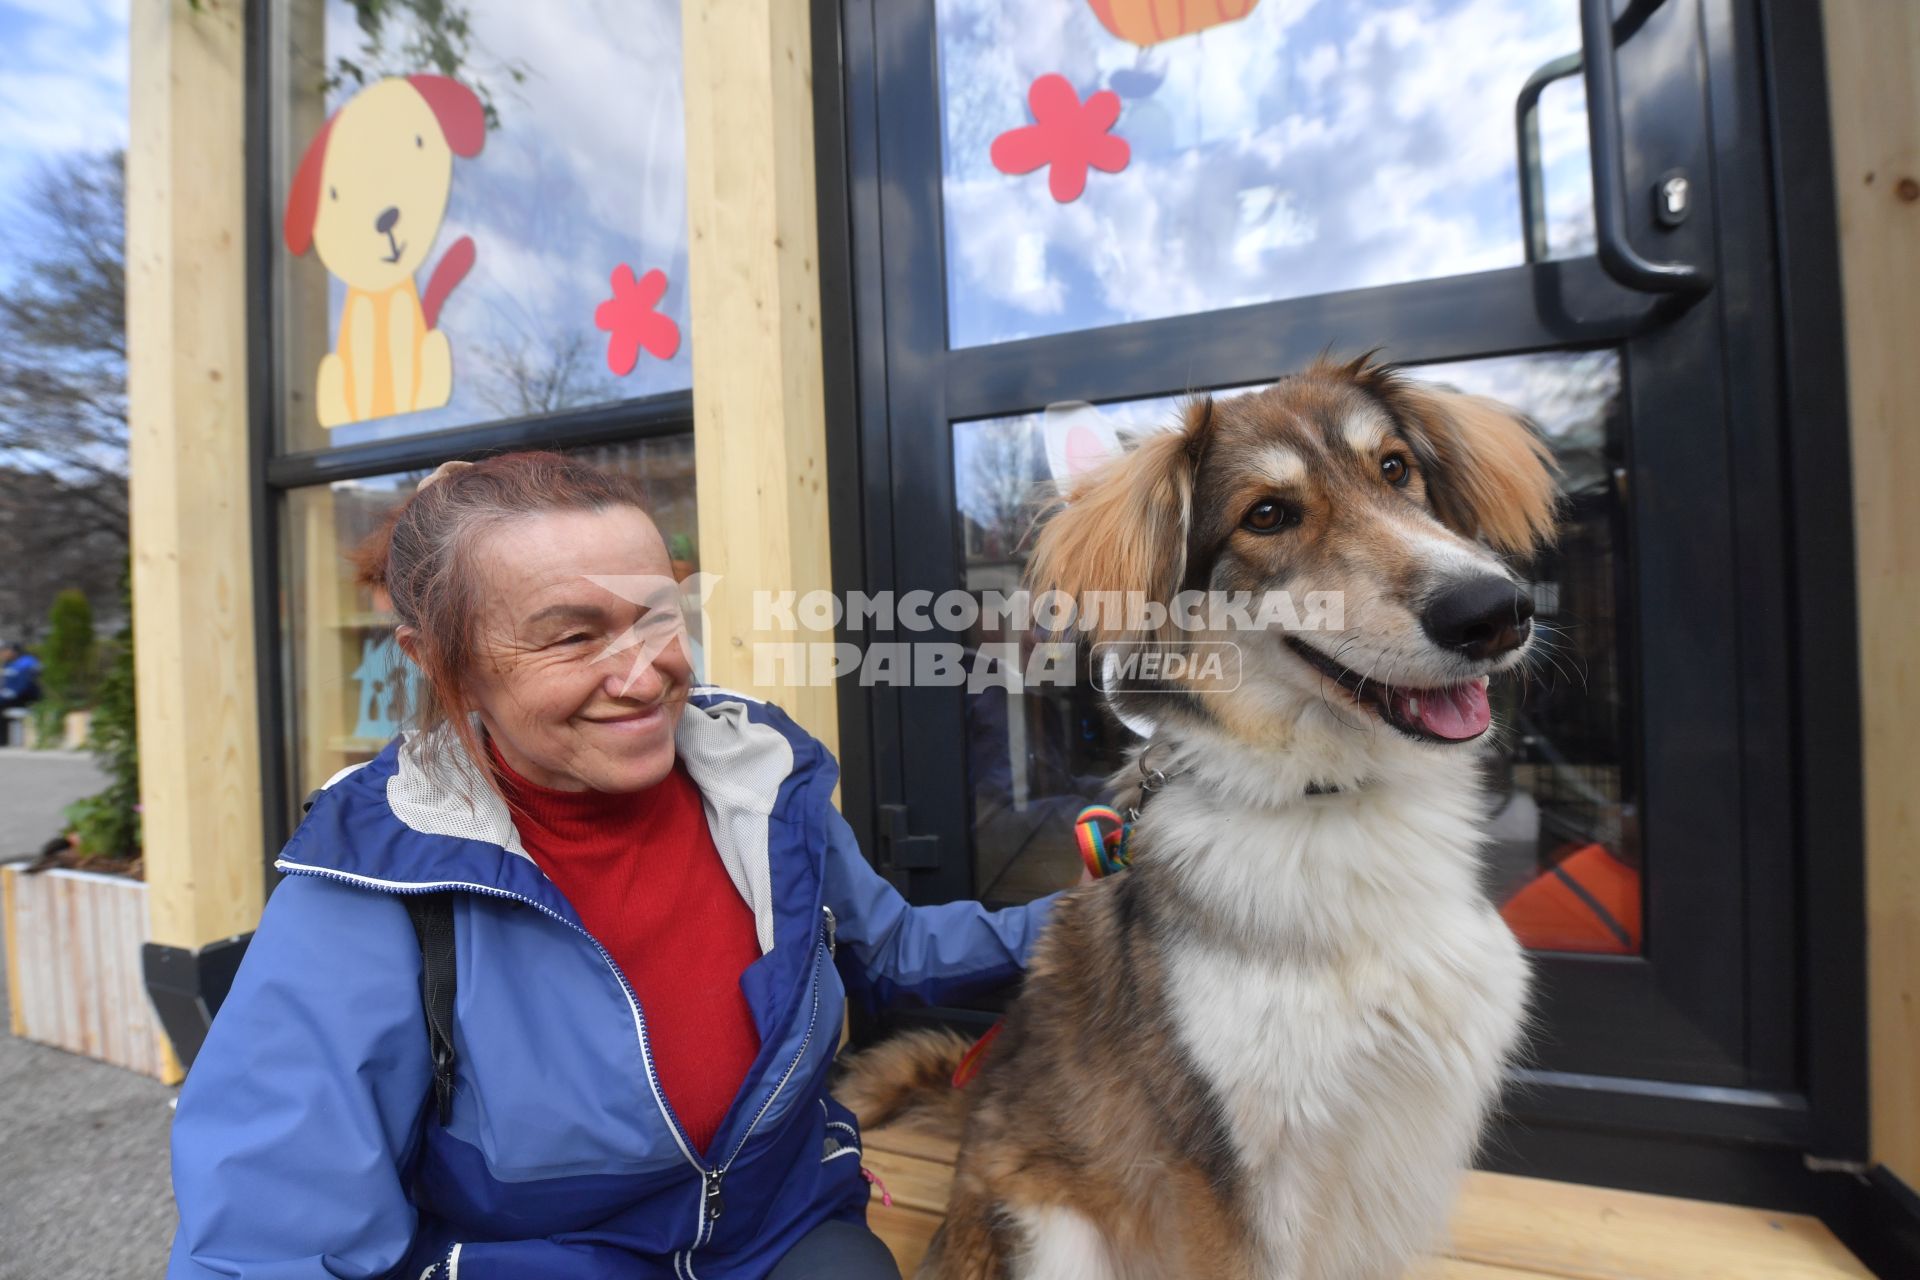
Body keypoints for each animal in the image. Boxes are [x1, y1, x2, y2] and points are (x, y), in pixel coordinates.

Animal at [840, 358, 1559, 1280]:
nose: (1494, 611)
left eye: (1396, 468)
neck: (1331, 801)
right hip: (1054, 1238)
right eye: (1267, 515)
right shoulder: (1217, 1165)